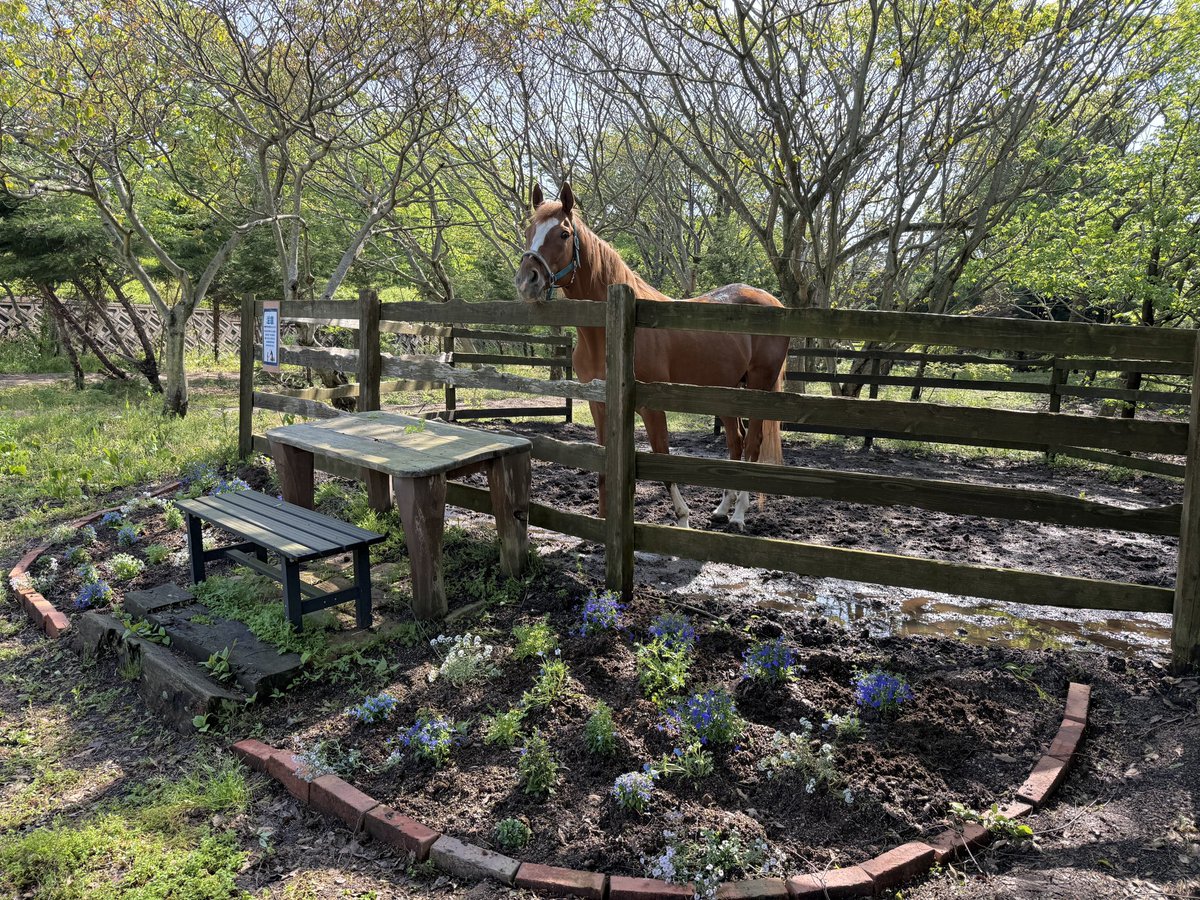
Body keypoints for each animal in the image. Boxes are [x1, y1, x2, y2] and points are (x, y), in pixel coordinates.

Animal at [514, 182, 790, 530]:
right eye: (529, 231)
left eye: (563, 234)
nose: (527, 280)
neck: (611, 333)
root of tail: (773, 302)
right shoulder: (598, 405)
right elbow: (602, 462)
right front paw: (602, 522)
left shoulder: (651, 406)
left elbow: (662, 457)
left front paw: (683, 520)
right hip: (726, 391)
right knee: (735, 441)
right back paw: (721, 509)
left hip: (758, 387)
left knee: (752, 444)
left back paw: (738, 515)